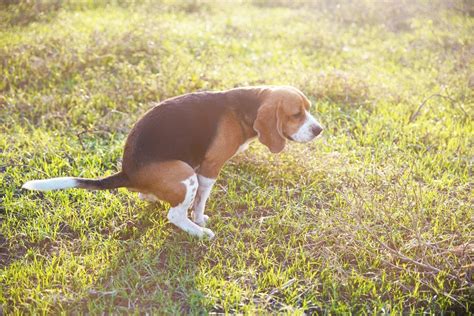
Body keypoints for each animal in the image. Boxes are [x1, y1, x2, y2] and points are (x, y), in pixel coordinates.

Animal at [21, 85, 322, 238]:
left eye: (308, 109)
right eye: (296, 114)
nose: (319, 130)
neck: (247, 105)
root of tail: (128, 172)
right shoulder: (209, 169)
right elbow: (201, 200)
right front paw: (199, 219)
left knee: (148, 197)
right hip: (184, 172)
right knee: (174, 214)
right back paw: (198, 232)